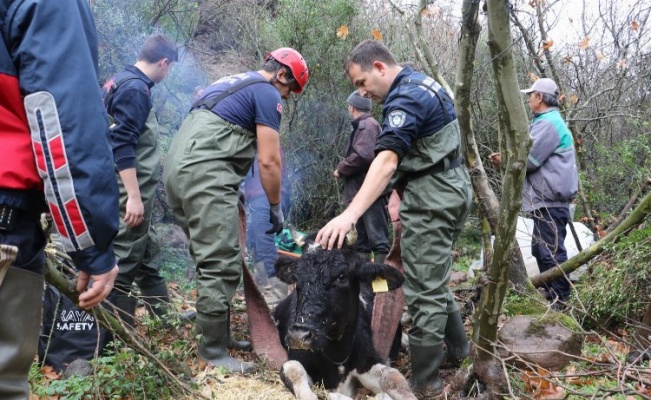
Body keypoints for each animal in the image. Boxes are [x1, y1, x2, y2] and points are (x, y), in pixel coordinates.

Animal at [272, 231, 416, 400]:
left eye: (342, 276)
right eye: (297, 277)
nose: (298, 336)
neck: (336, 355)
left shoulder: (367, 362)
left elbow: (392, 377)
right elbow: (294, 369)